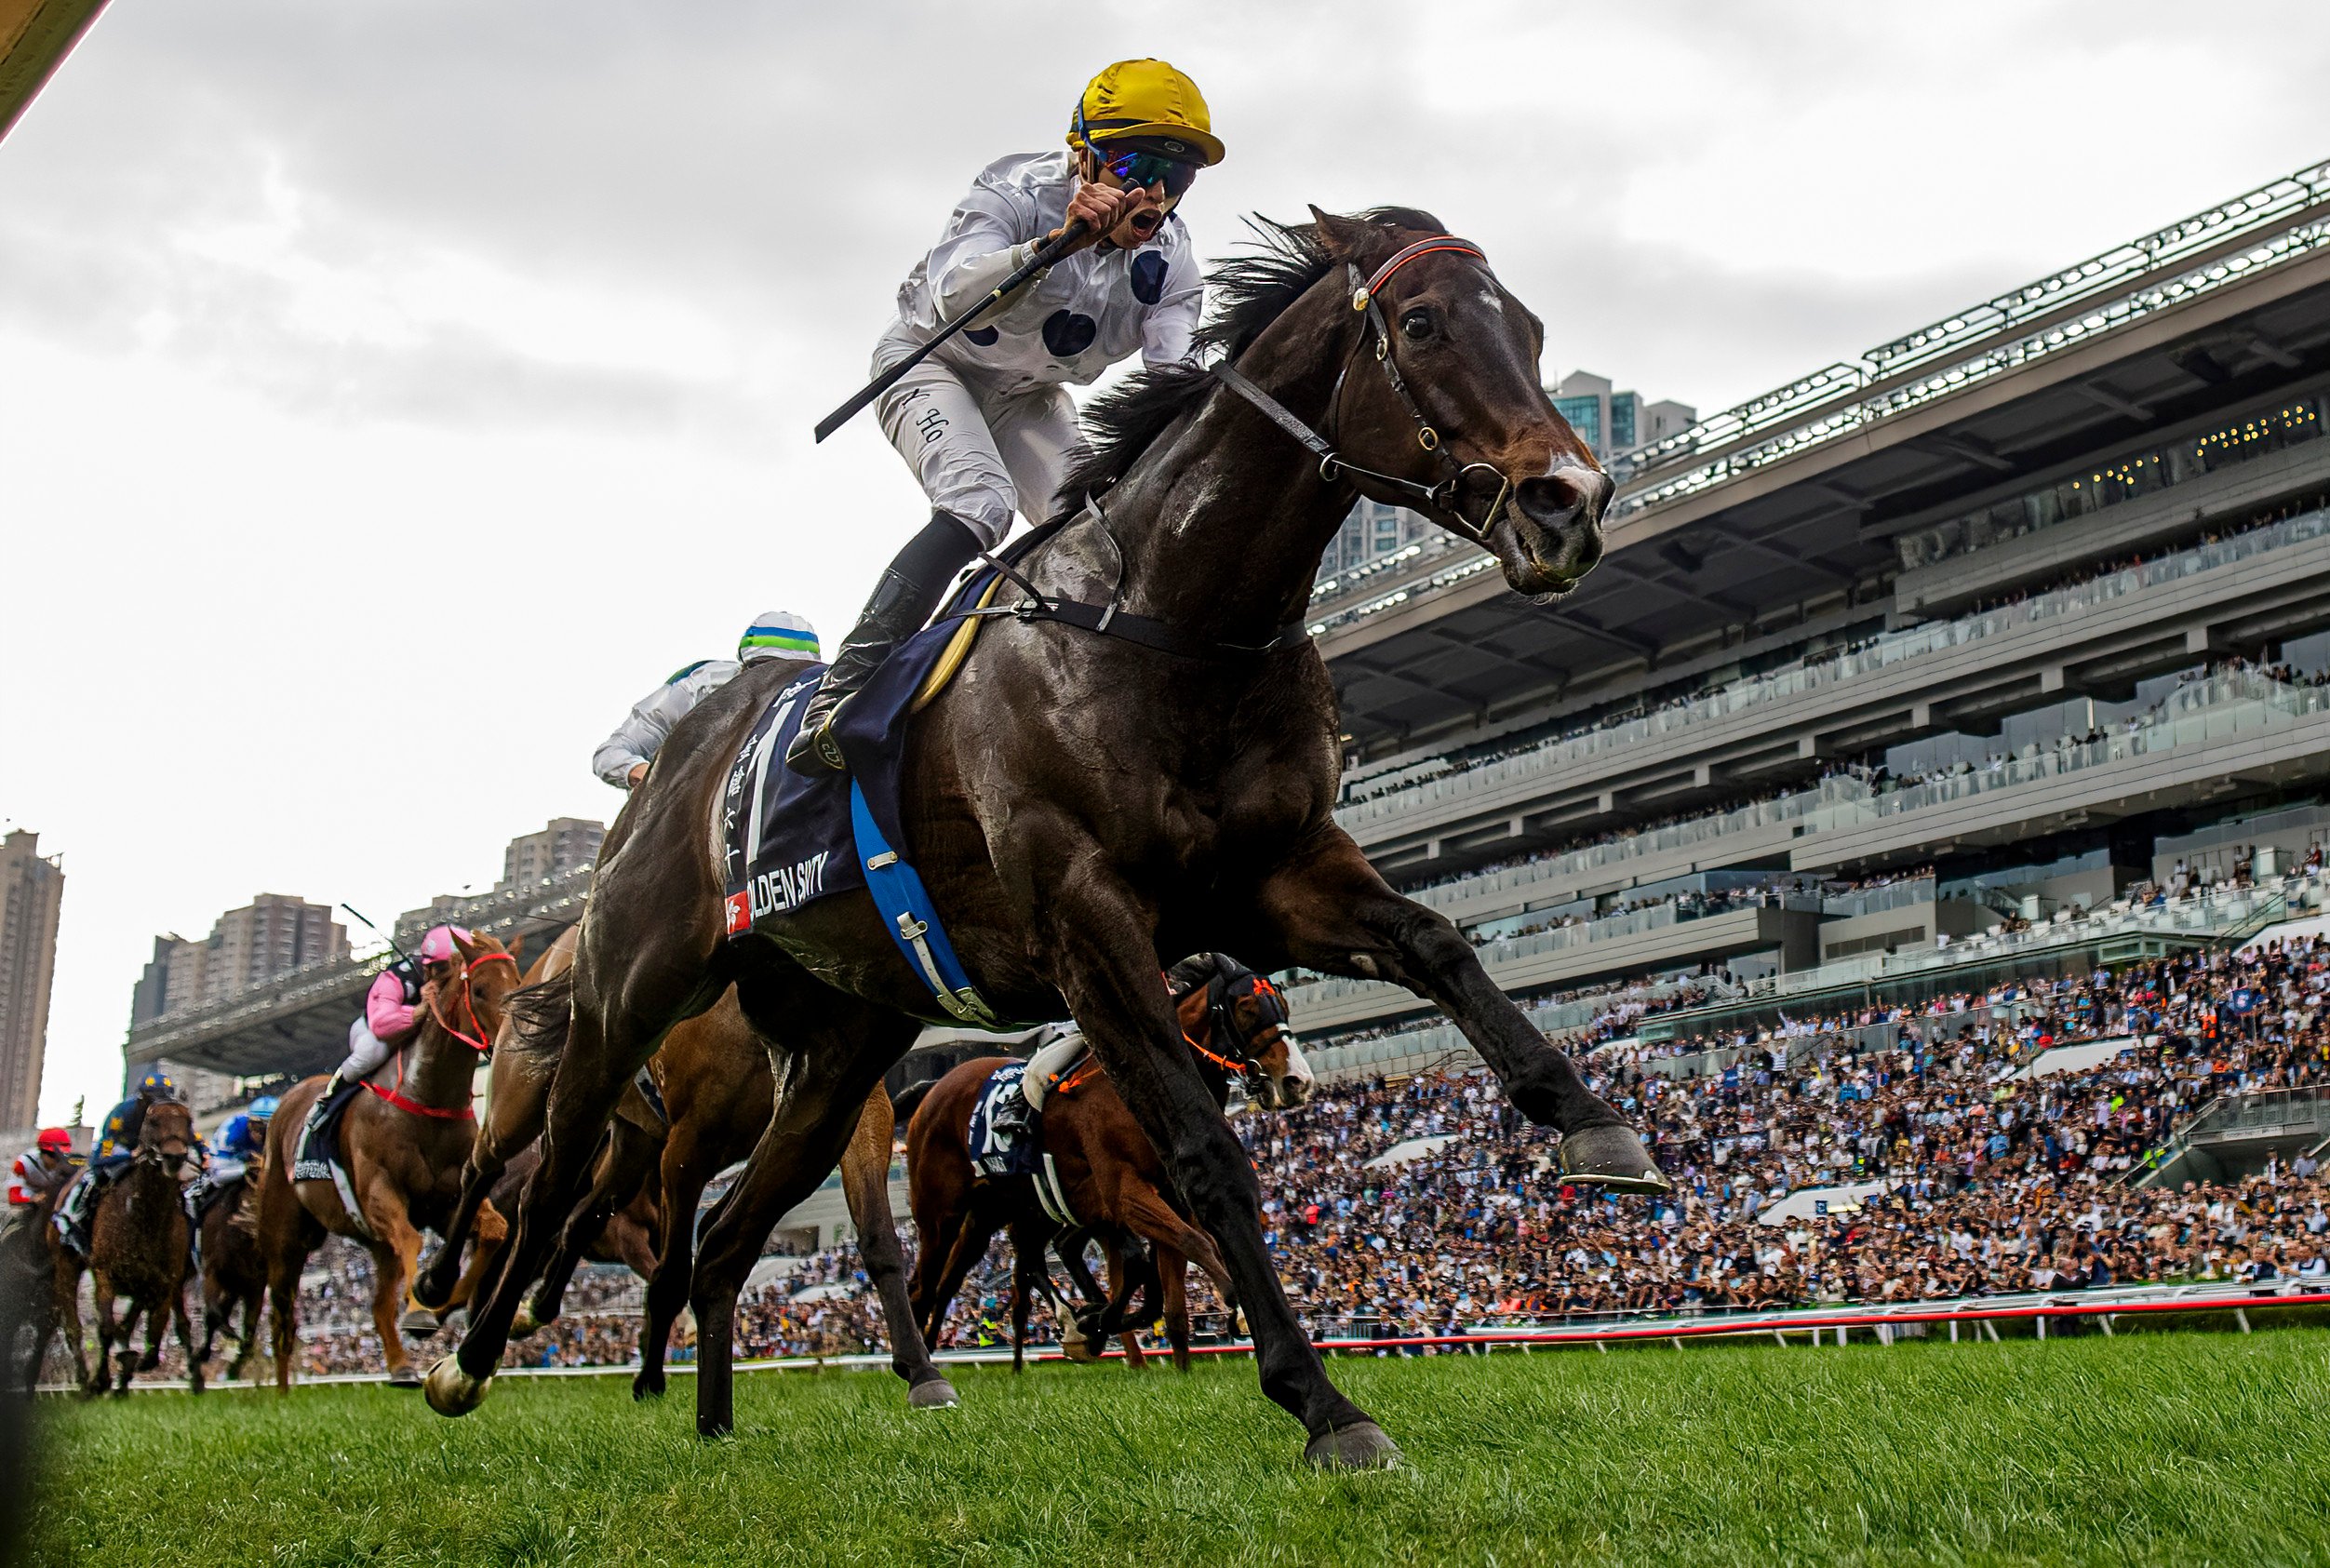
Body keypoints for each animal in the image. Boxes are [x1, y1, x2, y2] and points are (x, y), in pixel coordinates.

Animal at [260, 931, 524, 1379]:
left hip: (374, 1244)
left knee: (378, 1304)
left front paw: (438, 1296)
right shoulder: (380, 1192)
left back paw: (400, 1367)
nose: (514, 1042)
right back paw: (277, 1386)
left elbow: (495, 1229)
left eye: (518, 981)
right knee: (282, 1313)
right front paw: (419, 1307)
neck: (426, 1099)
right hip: (284, 1233)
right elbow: (412, 1238)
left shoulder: (446, 1202)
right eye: (480, 989)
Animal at [437, 207, 1667, 1472]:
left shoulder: (1274, 877)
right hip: (631, 989)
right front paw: (1321, 1401)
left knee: (729, 1233)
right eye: (1421, 324)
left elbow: (1438, 944)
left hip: (839, 1055)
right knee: (551, 1179)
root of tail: (670, 762)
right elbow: (1202, 1153)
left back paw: (720, 1420)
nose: (1570, 501)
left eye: (1531, 329)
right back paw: (465, 1353)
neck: (1172, 622)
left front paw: (1597, 1128)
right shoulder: (1088, 924)